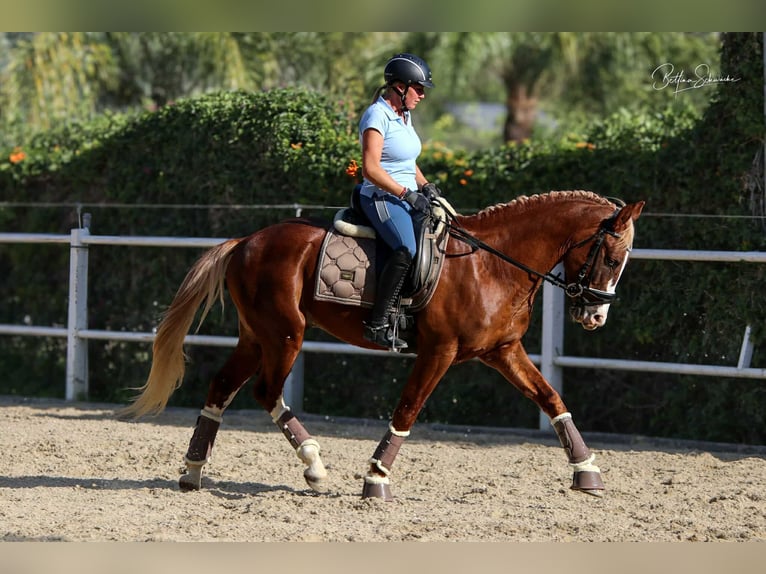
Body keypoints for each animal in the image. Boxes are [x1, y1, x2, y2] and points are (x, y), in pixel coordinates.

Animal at [121, 191, 648, 502]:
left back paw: (193, 471)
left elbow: (551, 399)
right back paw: (314, 465)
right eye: (612, 257)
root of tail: (247, 240)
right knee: (265, 391)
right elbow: (408, 409)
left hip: (257, 335)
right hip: (284, 334)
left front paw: (586, 471)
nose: (595, 316)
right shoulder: (440, 352)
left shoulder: (503, 351)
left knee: (222, 387)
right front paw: (376, 479)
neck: (491, 265)